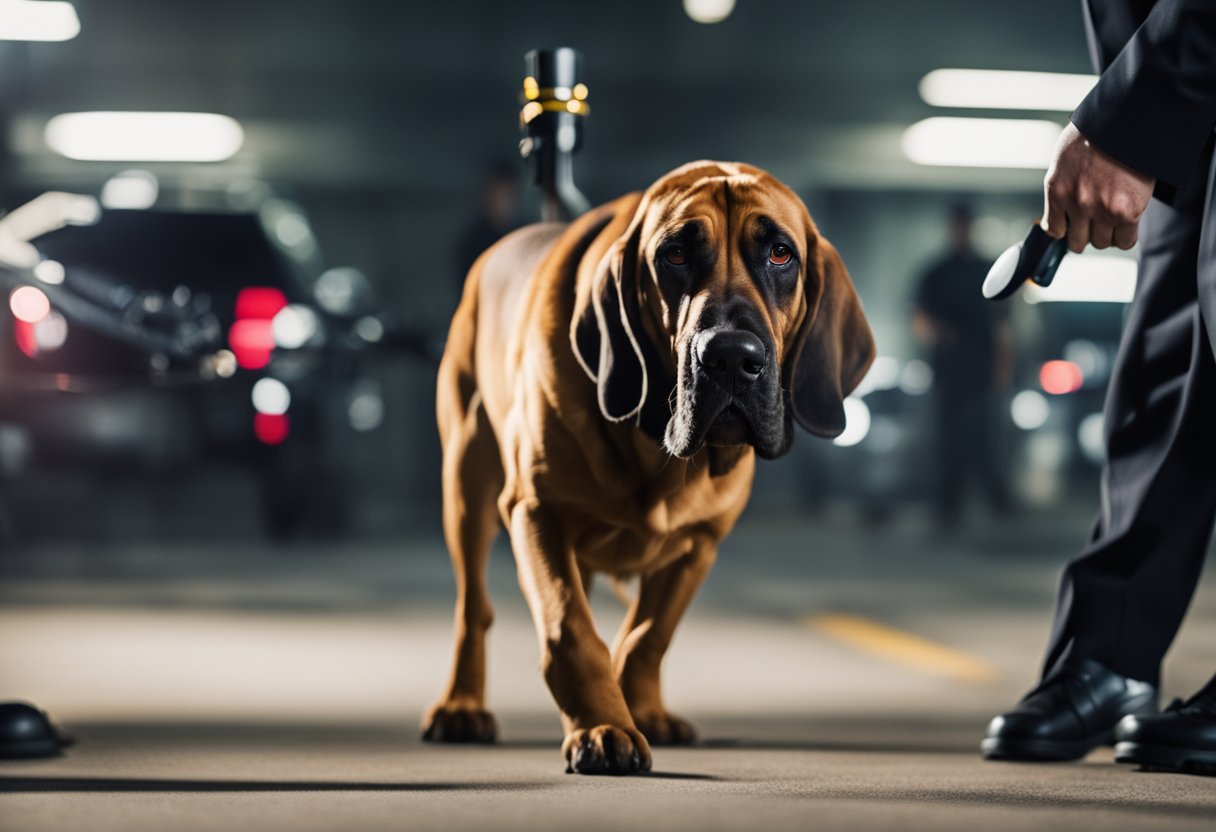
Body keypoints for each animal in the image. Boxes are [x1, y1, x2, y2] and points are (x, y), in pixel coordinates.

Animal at [425, 160, 875, 773]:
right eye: (675, 255)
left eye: (781, 254)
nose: (730, 357)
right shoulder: (536, 511)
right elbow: (570, 628)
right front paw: (604, 725)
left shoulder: (698, 544)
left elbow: (647, 636)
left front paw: (637, 708)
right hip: (466, 488)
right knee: (473, 609)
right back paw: (461, 705)